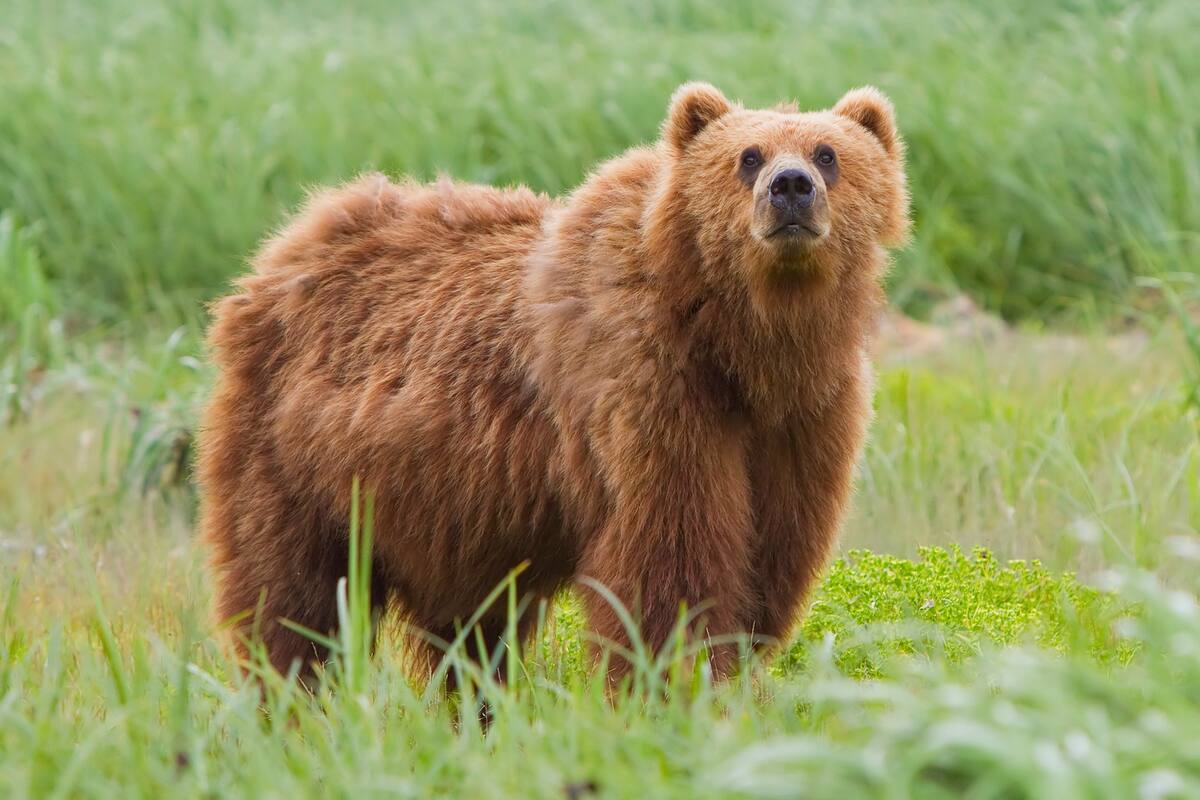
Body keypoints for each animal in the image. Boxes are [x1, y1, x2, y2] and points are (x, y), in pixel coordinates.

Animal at [197, 82, 909, 684]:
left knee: (469, 633)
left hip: (448, 512)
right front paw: (674, 681)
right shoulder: (649, 392)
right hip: (295, 458)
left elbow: (770, 560)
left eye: (828, 153)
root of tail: (285, 246)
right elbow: (670, 566)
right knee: (292, 599)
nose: (790, 187)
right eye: (747, 156)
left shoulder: (804, 420)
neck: (742, 345)